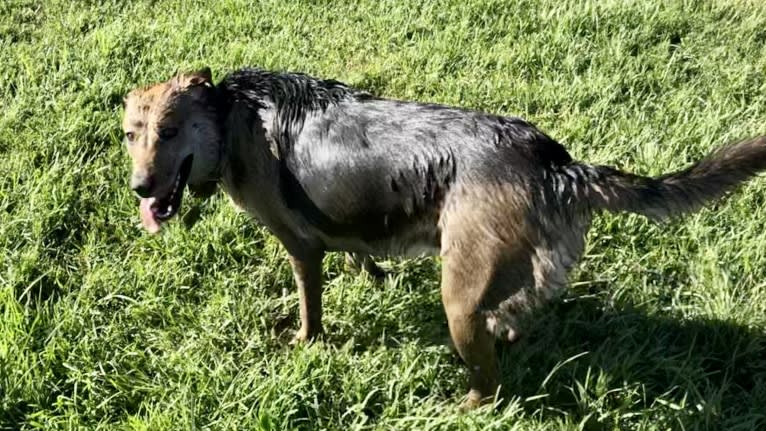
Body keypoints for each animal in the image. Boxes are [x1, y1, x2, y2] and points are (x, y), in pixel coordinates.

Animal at [120, 66, 766, 408]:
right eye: (131, 134)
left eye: (170, 131)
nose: (140, 188)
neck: (230, 117)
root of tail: (557, 166)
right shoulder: (348, 225)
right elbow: (361, 252)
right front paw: (375, 279)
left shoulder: (300, 246)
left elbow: (310, 307)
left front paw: (305, 341)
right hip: (501, 284)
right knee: (511, 323)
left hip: (458, 298)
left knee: (491, 384)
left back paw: (461, 406)